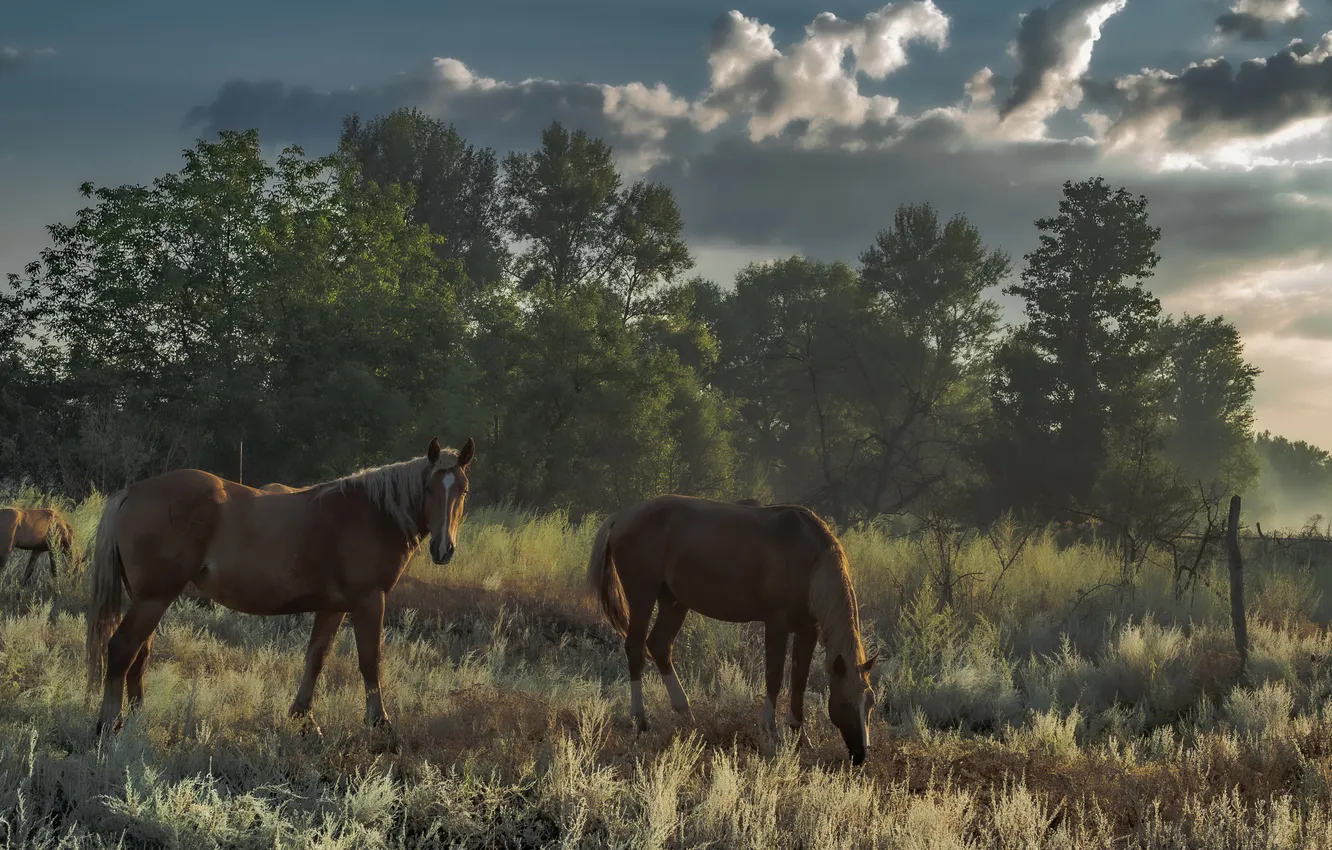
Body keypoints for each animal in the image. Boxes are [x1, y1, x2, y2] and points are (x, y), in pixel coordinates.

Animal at [85, 436, 476, 737]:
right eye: (428, 488)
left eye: (464, 490)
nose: (444, 549)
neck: (371, 513)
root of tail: (131, 492)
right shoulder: (369, 601)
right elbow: (370, 661)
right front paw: (381, 725)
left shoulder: (333, 606)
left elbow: (316, 657)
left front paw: (304, 718)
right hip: (154, 598)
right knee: (121, 649)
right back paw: (108, 725)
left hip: (150, 598)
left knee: (139, 654)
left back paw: (137, 721)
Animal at [586, 495, 878, 764]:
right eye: (845, 703)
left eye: (870, 702)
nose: (861, 754)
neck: (809, 558)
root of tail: (622, 516)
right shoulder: (777, 624)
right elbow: (774, 676)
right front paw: (769, 730)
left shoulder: (808, 630)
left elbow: (799, 681)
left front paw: (798, 736)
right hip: (642, 597)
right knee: (635, 648)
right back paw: (641, 721)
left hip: (673, 602)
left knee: (659, 645)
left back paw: (686, 714)